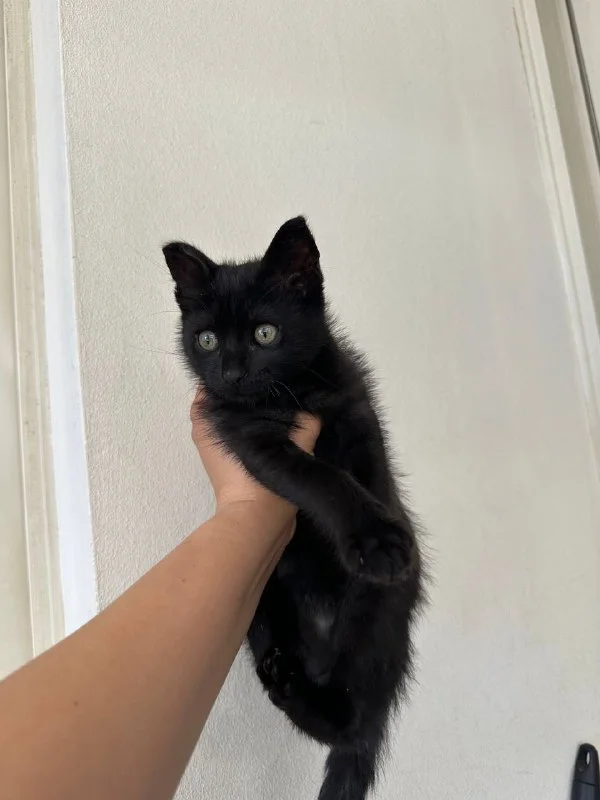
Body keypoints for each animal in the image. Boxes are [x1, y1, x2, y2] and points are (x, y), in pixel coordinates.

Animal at [163, 217, 423, 800]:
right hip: (261, 604)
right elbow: (317, 475)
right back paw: (286, 680)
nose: (232, 373)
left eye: (266, 333)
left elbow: (369, 469)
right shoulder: (250, 439)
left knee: (353, 717)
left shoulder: (354, 403)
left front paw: (382, 531)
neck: (289, 396)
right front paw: (372, 535)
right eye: (206, 339)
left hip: (374, 619)